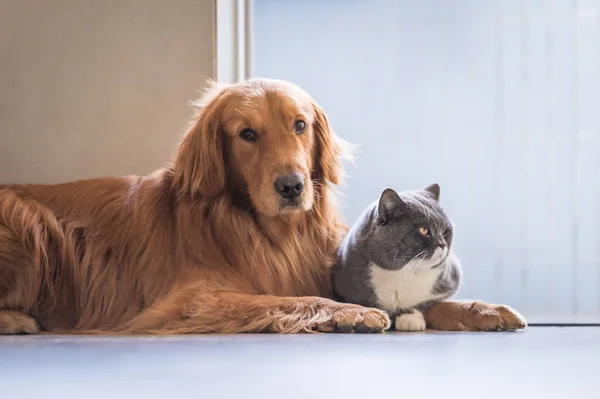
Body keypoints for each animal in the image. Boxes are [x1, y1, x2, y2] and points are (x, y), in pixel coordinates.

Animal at [332, 184, 460, 332]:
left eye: (445, 231)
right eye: (424, 230)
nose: (442, 244)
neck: (404, 271)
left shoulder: (450, 280)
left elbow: (423, 303)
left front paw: (410, 319)